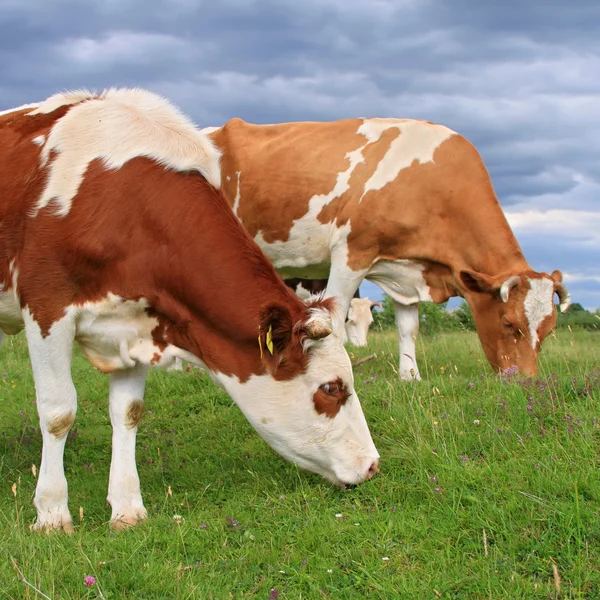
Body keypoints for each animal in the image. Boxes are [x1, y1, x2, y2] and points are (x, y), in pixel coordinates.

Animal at [0, 86, 380, 532]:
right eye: (332, 388)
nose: (373, 465)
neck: (121, 202)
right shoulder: (47, 308)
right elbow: (58, 411)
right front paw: (51, 514)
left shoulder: (140, 322)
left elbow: (128, 412)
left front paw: (127, 509)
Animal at [203, 118, 572, 380]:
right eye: (509, 323)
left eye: (549, 330)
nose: (526, 380)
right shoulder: (351, 252)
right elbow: (333, 318)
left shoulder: (406, 270)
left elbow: (409, 328)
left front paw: (411, 376)